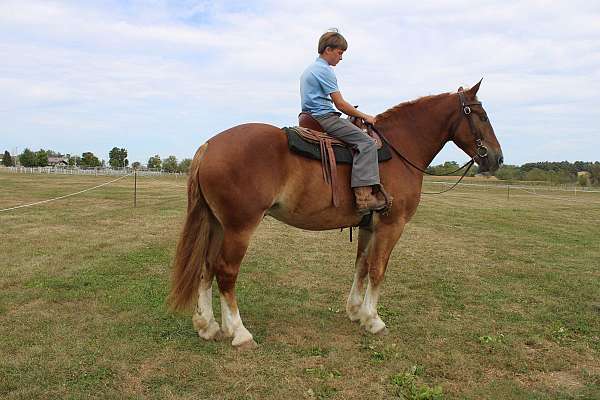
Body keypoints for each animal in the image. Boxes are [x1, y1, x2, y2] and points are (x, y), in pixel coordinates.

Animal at [168, 80, 502, 346]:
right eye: (482, 116)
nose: (497, 158)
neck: (400, 149)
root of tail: (210, 146)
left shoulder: (369, 225)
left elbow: (362, 266)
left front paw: (355, 312)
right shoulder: (392, 225)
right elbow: (378, 270)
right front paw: (373, 320)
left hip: (218, 224)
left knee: (206, 267)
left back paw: (208, 326)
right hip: (240, 227)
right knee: (226, 272)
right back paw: (239, 332)